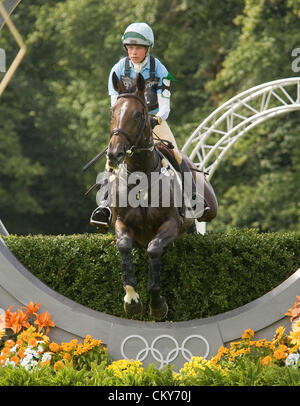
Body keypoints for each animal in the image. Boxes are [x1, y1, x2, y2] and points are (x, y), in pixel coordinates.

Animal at [106, 73, 217, 320]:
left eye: (138, 114)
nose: (114, 153)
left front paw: (157, 305)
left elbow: (154, 249)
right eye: (112, 112)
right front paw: (132, 300)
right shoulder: (121, 222)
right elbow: (124, 246)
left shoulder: (171, 224)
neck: (141, 175)